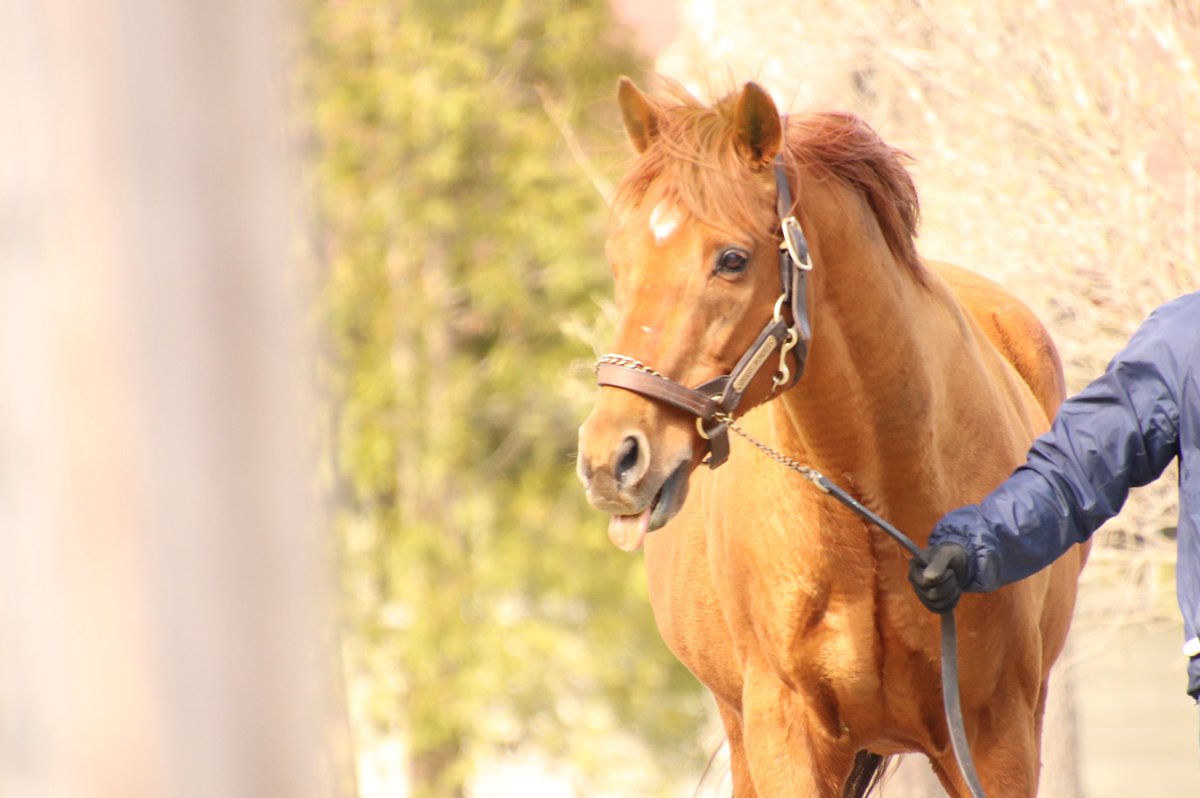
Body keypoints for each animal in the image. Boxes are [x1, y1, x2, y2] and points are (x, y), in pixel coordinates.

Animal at [576, 78, 1094, 792]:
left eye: (731, 260)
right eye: (617, 262)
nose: (611, 459)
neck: (872, 502)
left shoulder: (996, 738)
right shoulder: (784, 734)